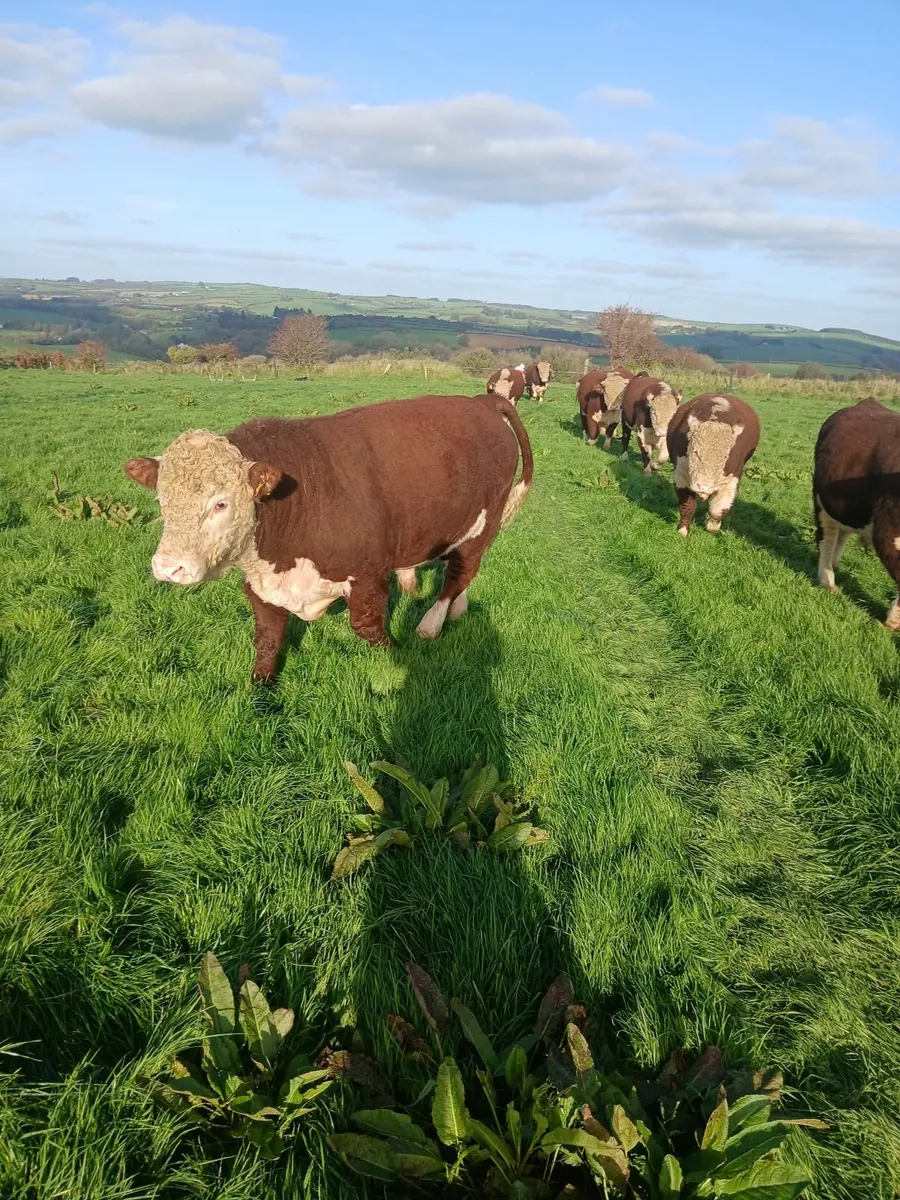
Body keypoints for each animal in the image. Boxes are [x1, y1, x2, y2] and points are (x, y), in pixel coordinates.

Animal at [123, 393, 533, 682]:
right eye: (162, 500)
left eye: (220, 504)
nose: (168, 568)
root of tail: (480, 401)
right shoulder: (261, 583)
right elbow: (267, 637)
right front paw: (260, 686)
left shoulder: (367, 575)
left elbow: (368, 628)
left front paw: (396, 655)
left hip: (484, 523)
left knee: (460, 572)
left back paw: (432, 624)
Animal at [667, 393, 760, 536]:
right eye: (695, 452)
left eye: (726, 456)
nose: (703, 486)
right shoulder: (681, 475)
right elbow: (687, 506)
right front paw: (683, 531)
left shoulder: (731, 480)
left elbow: (718, 509)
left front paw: (712, 525)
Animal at [813, 398, 900, 630]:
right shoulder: (889, 532)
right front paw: (891, 623)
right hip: (821, 501)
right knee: (827, 538)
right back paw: (827, 581)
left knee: (842, 533)